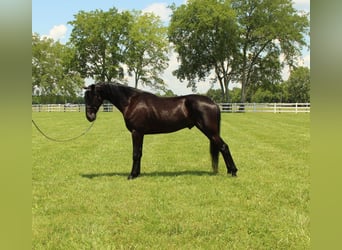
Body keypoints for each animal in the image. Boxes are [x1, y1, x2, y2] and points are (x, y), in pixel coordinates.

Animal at [83, 82, 238, 180]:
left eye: (94, 96)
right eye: (85, 97)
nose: (90, 117)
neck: (131, 101)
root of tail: (213, 103)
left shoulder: (136, 132)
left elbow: (135, 154)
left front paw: (131, 175)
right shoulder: (140, 133)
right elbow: (140, 153)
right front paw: (137, 174)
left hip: (210, 132)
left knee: (224, 147)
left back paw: (233, 172)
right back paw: (230, 171)